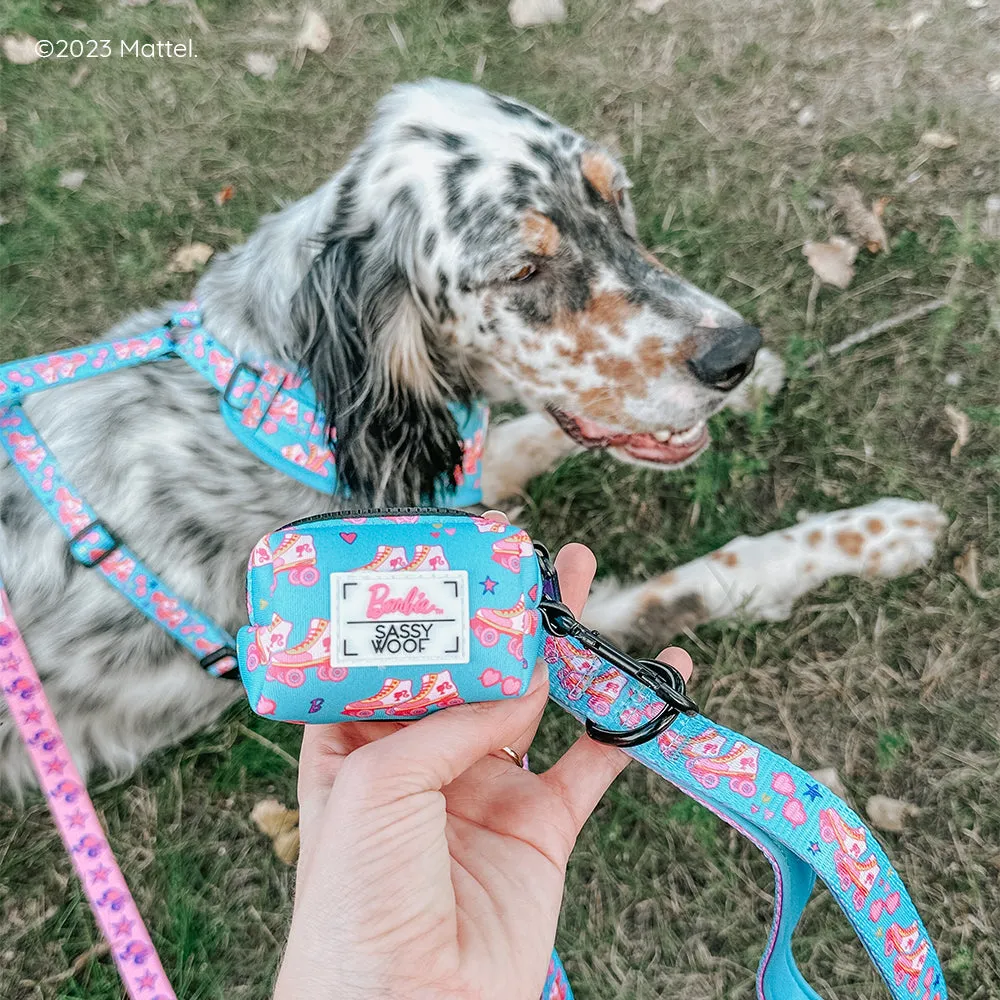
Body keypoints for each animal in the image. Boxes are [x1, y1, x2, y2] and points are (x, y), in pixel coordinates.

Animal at [0, 80, 944, 788]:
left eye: (618, 200)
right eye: (524, 269)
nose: (733, 354)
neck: (285, 388)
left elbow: (528, 436)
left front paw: (765, 385)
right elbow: (710, 576)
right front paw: (873, 534)